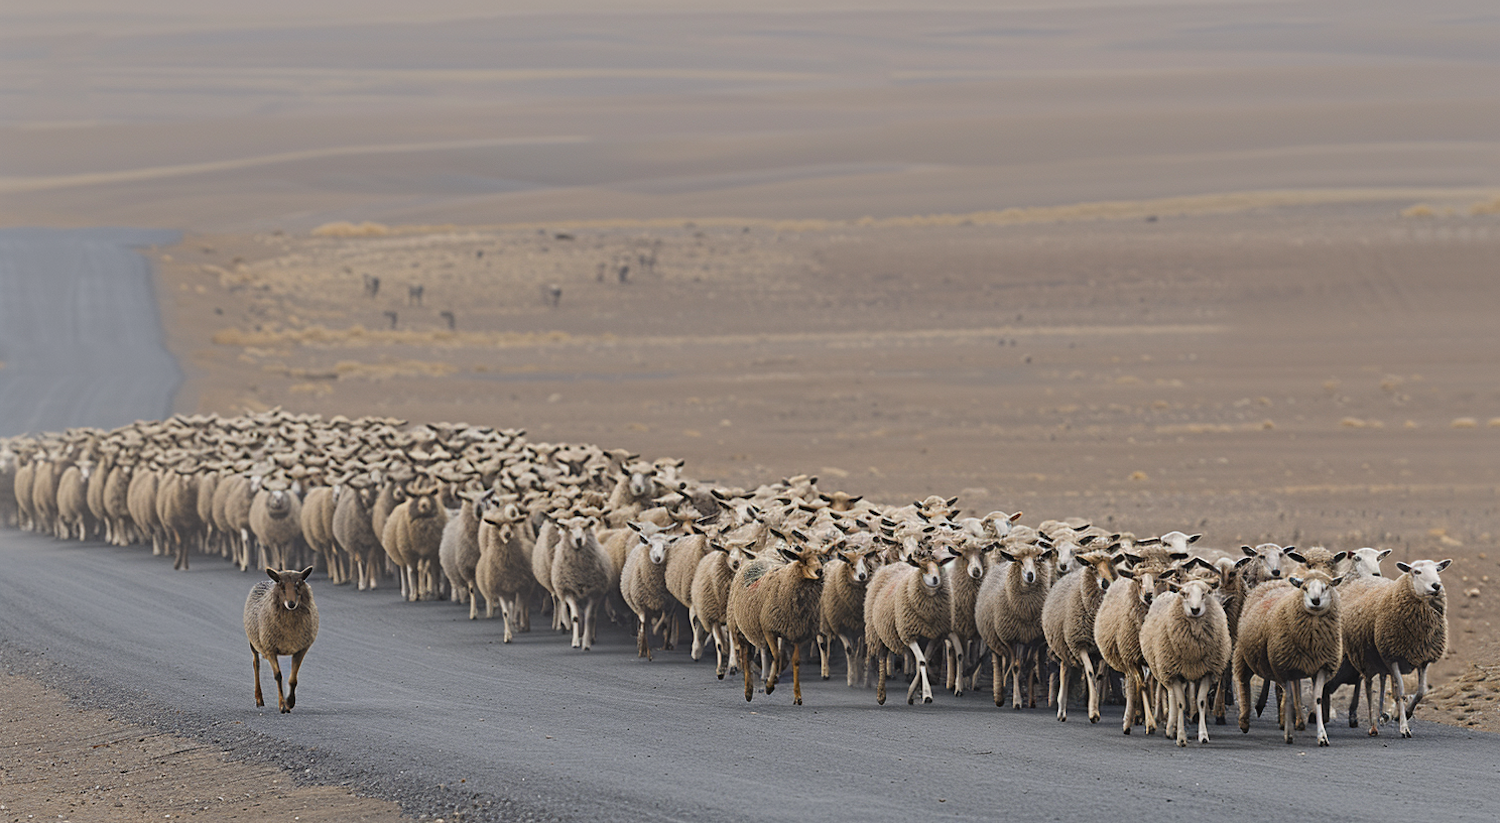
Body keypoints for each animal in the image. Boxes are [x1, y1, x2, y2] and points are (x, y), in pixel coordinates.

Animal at [243, 563, 319, 713]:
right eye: (281, 585)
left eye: (298, 584)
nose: (291, 604)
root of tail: (265, 580)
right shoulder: (270, 648)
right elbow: (278, 676)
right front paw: (282, 705)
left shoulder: (300, 649)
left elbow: (293, 679)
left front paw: (290, 702)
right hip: (254, 642)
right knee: (256, 664)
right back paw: (259, 699)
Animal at [972, 539, 1056, 704]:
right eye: (1020, 561)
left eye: (1037, 560)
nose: (1030, 575)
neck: (1025, 612)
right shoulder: (1010, 639)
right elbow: (1015, 666)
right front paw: (1017, 701)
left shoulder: (1033, 639)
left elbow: (1027, 666)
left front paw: (1029, 699)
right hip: (994, 639)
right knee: (1000, 662)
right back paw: (1000, 693)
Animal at [1134, 578, 1230, 743]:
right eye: (1185, 594)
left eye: (1205, 594)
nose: (1195, 609)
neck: (1193, 651)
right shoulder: (1173, 673)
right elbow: (1180, 704)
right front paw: (1180, 736)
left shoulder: (1207, 672)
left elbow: (1201, 702)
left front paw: (1203, 735)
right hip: (1165, 669)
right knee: (1172, 696)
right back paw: (1170, 728)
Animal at [1230, 572, 1350, 743]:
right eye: (1304, 588)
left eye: (1326, 587)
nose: (1315, 601)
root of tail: (1272, 582)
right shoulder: (1285, 667)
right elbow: (1290, 696)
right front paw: (1289, 731)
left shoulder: (1321, 666)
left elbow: (1316, 699)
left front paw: (1322, 736)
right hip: (1244, 653)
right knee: (1243, 682)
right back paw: (1244, 720)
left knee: (1293, 690)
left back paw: (1295, 720)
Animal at [1344, 554, 1446, 734]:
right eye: (1416, 571)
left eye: (1437, 569)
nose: (1436, 585)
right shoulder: (1392, 657)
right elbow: (1401, 692)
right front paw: (1404, 727)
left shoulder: (1423, 658)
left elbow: (1420, 691)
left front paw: (1405, 713)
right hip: (1360, 655)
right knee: (1367, 685)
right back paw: (1371, 725)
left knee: (1376, 680)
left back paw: (1382, 716)